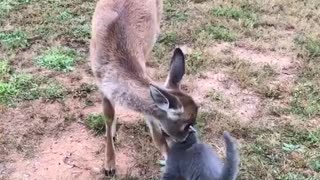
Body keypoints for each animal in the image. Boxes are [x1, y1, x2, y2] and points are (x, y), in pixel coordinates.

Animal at [89, 0, 198, 176]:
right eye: (186, 124)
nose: (187, 139)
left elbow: (157, 137)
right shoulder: (102, 86)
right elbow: (108, 116)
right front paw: (109, 165)